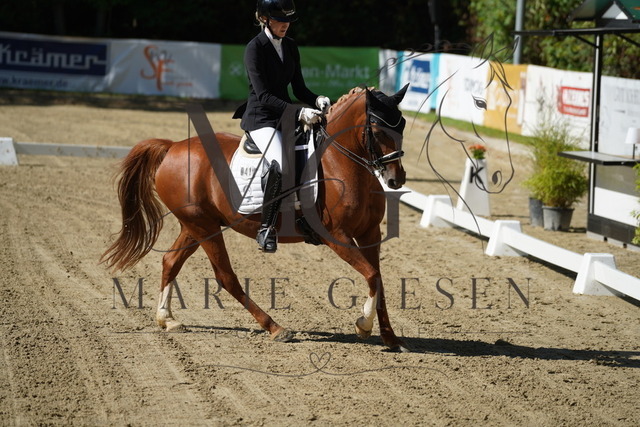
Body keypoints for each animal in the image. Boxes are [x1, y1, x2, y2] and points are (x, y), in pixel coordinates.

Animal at [101, 84, 411, 352]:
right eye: (376, 129)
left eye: (402, 125)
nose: (395, 179)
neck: (340, 163)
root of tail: (172, 146)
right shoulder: (336, 236)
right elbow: (371, 275)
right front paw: (363, 325)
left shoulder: (370, 233)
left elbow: (378, 279)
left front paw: (391, 338)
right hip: (203, 226)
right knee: (226, 277)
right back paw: (275, 328)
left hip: (197, 225)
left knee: (171, 261)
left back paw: (167, 319)